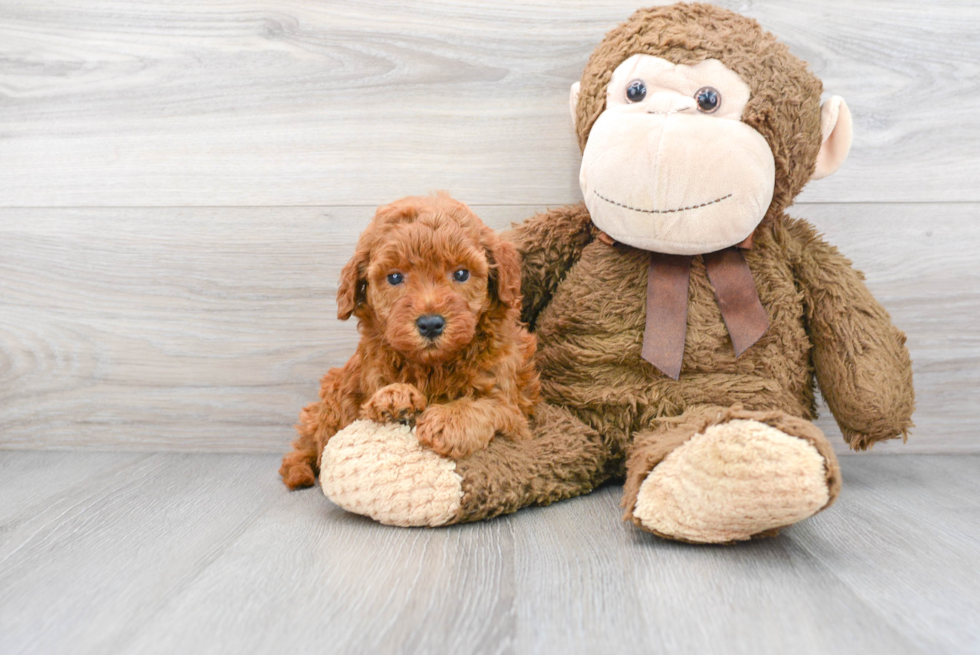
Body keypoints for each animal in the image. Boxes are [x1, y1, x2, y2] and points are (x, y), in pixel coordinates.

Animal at [280, 192, 540, 490]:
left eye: (462, 274)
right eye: (395, 277)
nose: (430, 324)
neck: (434, 366)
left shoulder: (517, 418)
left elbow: (492, 406)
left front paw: (448, 420)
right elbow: (368, 407)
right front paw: (395, 397)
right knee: (310, 443)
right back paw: (298, 471)